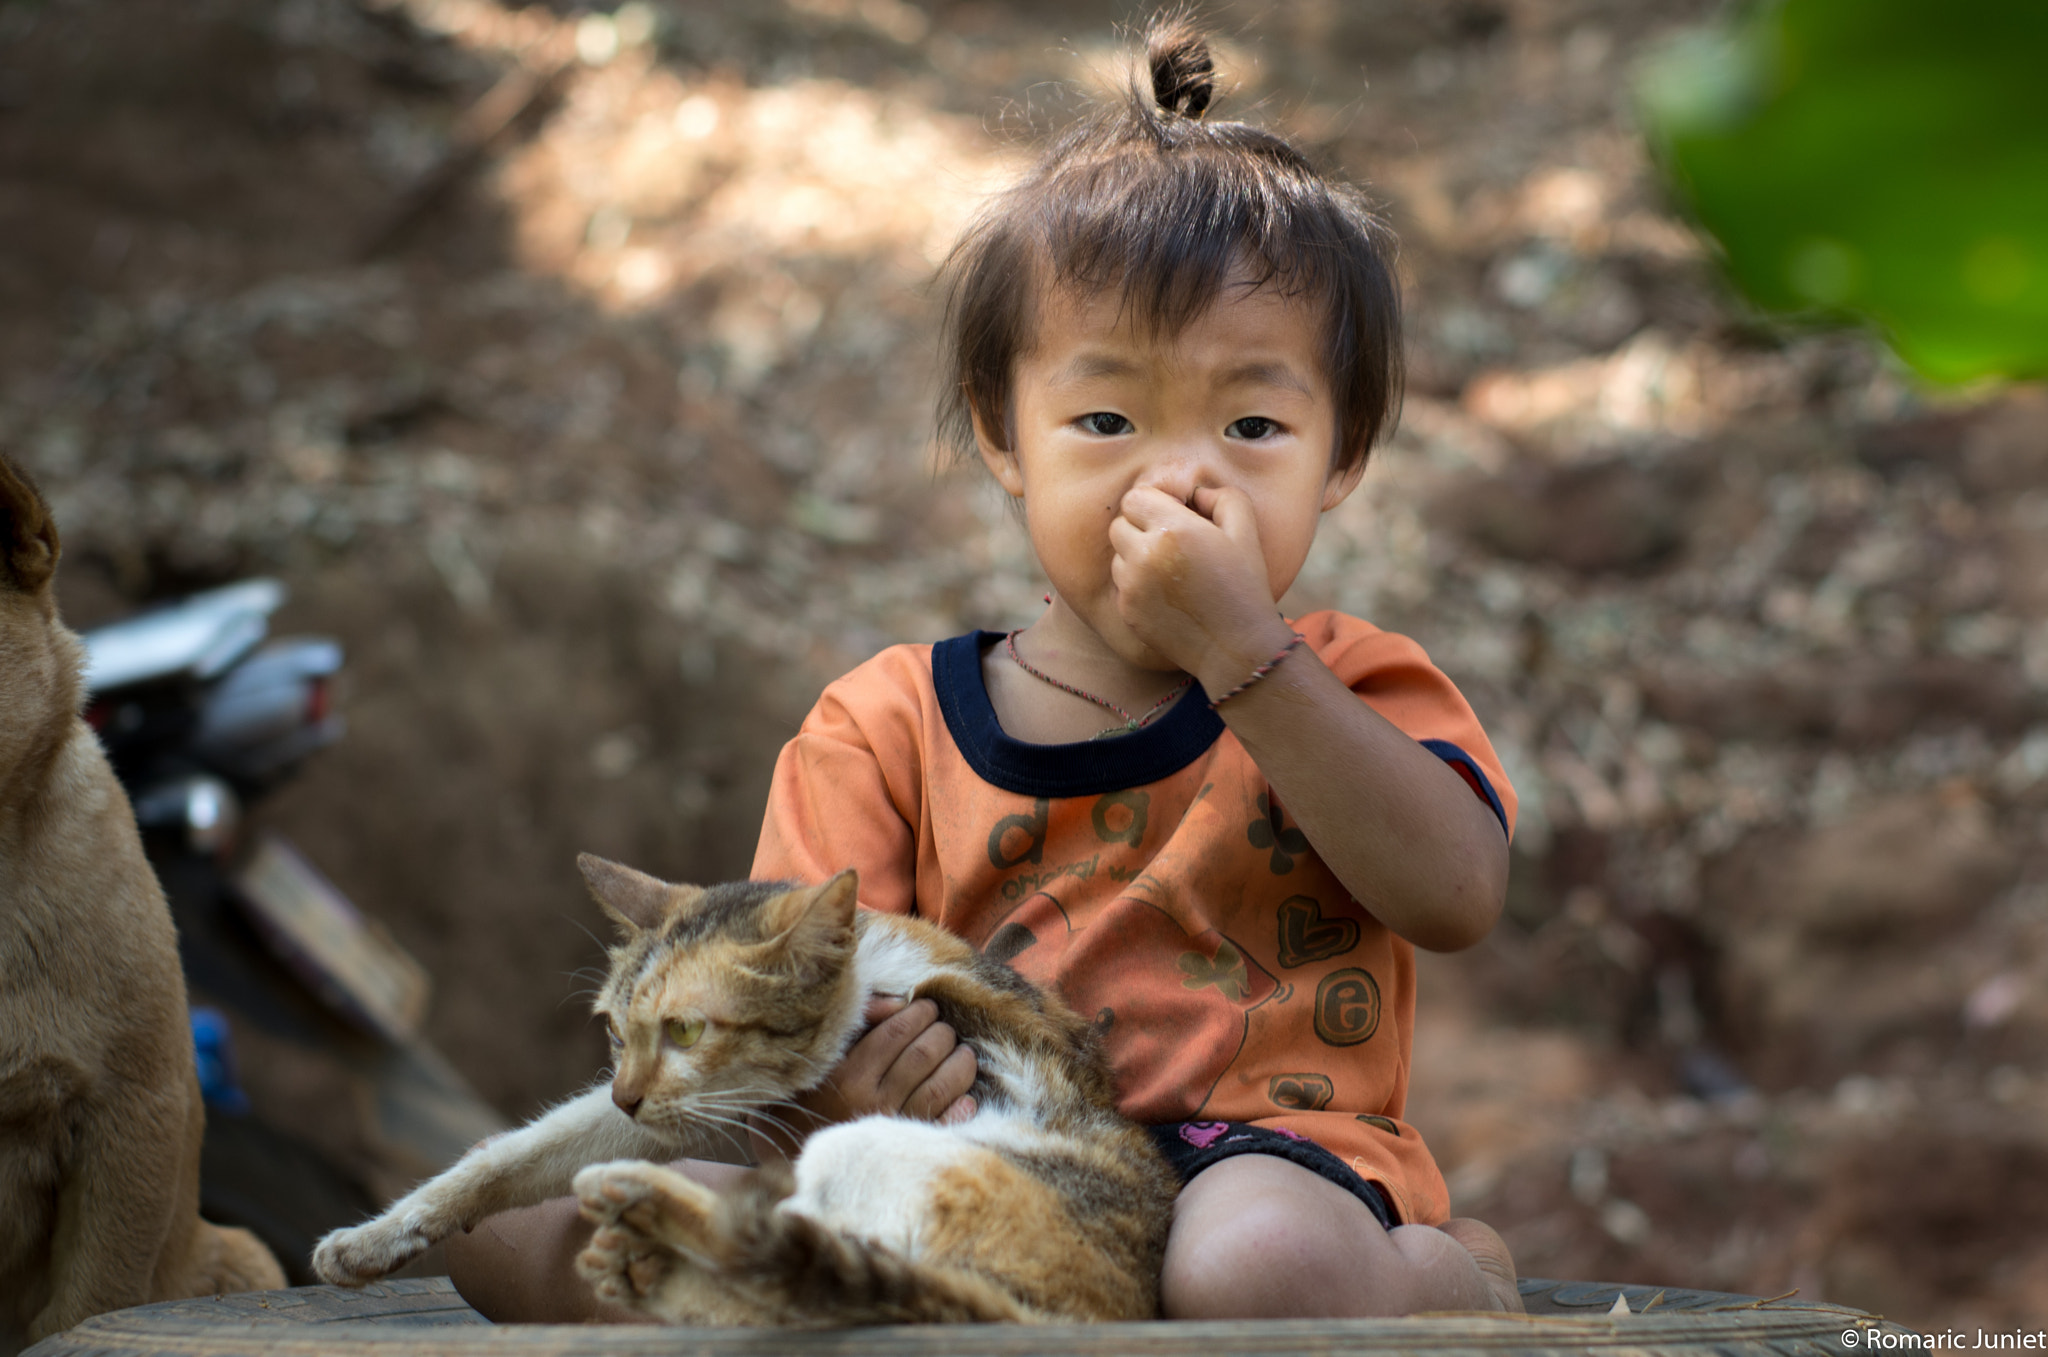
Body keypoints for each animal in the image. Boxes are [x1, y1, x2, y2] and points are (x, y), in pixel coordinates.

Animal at [319, 859, 1187, 1326]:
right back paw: (640, 1255)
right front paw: (376, 1236)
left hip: (869, 1147)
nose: (626, 1095)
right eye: (615, 1032)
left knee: (802, 1279)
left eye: (687, 1030)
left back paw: (645, 1221)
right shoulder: (666, 1108)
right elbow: (511, 1152)